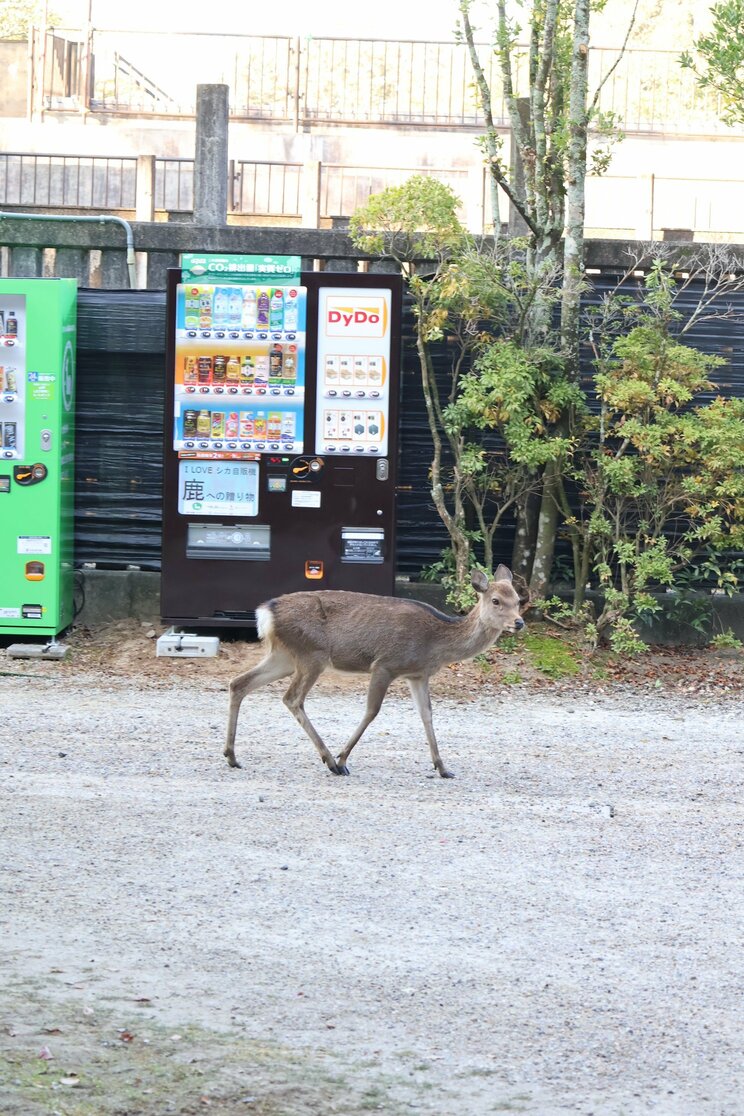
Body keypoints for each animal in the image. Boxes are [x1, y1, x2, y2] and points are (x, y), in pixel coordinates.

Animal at [224, 566, 526, 776]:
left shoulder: (418, 674)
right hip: (312, 654)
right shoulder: (385, 664)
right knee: (292, 698)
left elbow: (427, 715)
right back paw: (330, 761)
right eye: (496, 600)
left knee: (239, 683)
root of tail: (265, 613)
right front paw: (343, 758)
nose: (519, 622)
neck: (436, 643)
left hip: (284, 656)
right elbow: (372, 711)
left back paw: (232, 756)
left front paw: (443, 768)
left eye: (518, 599)